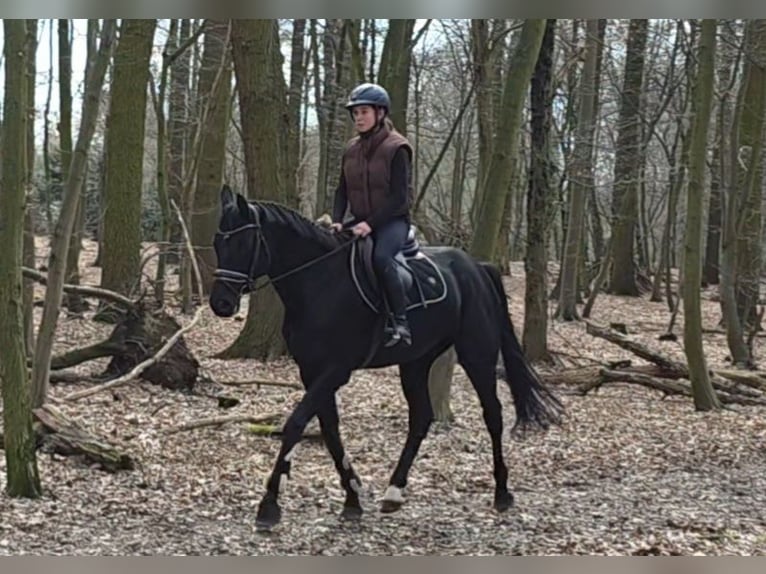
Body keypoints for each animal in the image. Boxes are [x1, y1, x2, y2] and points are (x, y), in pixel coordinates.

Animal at [209, 185, 563, 531]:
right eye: (217, 242)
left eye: (243, 242)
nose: (220, 304)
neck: (320, 282)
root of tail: (477, 268)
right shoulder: (311, 371)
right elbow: (329, 430)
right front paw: (352, 498)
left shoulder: (335, 370)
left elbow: (296, 423)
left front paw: (269, 505)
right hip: (415, 362)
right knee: (421, 417)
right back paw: (395, 491)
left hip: (477, 355)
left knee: (493, 415)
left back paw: (502, 493)